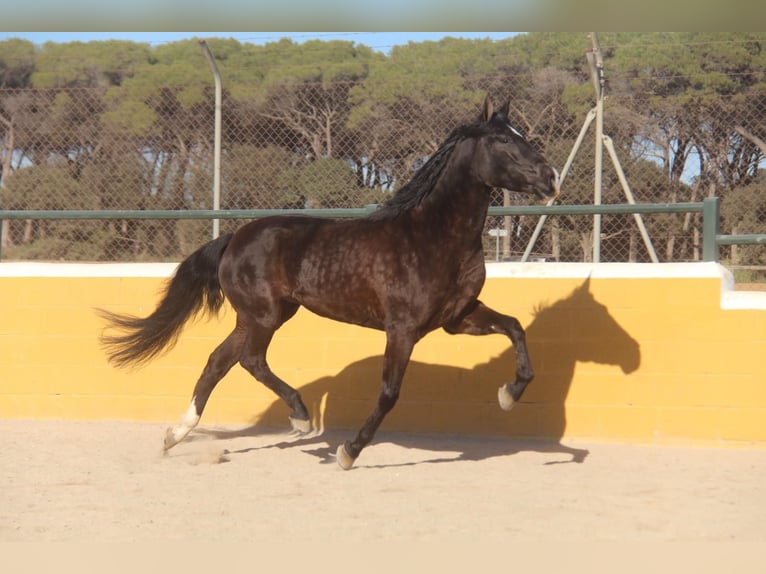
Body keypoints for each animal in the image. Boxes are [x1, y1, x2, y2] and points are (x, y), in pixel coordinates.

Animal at [99, 95, 560, 472]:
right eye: (501, 141)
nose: (551, 177)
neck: (432, 235)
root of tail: (235, 236)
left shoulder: (457, 318)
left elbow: (516, 328)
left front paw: (509, 394)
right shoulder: (403, 328)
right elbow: (389, 393)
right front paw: (348, 452)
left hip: (258, 316)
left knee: (218, 361)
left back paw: (174, 436)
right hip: (265, 315)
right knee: (250, 360)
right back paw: (301, 418)